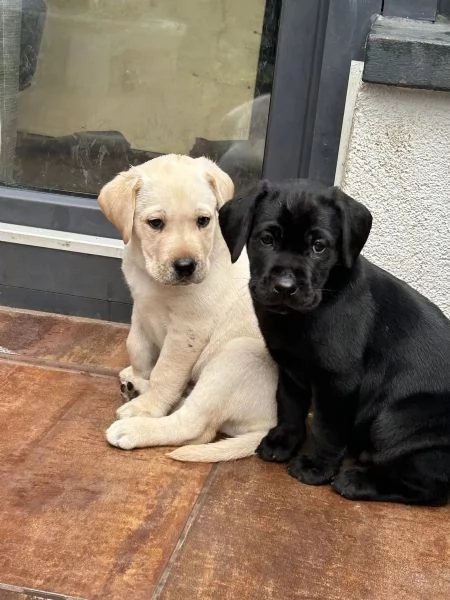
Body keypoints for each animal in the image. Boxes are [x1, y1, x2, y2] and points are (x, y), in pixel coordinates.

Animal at [97, 154, 278, 460]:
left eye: (203, 221)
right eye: (155, 223)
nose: (186, 266)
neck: (153, 280)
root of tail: (272, 427)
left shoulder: (188, 331)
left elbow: (166, 372)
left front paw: (147, 408)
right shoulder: (141, 309)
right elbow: (137, 348)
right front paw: (139, 377)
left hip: (237, 356)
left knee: (196, 425)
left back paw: (135, 427)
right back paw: (139, 388)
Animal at [219, 179, 450, 506]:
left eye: (319, 246)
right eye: (266, 239)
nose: (285, 287)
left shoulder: (338, 381)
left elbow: (327, 428)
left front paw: (316, 467)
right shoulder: (290, 369)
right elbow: (289, 406)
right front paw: (282, 441)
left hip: (395, 419)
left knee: (430, 488)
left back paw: (357, 481)